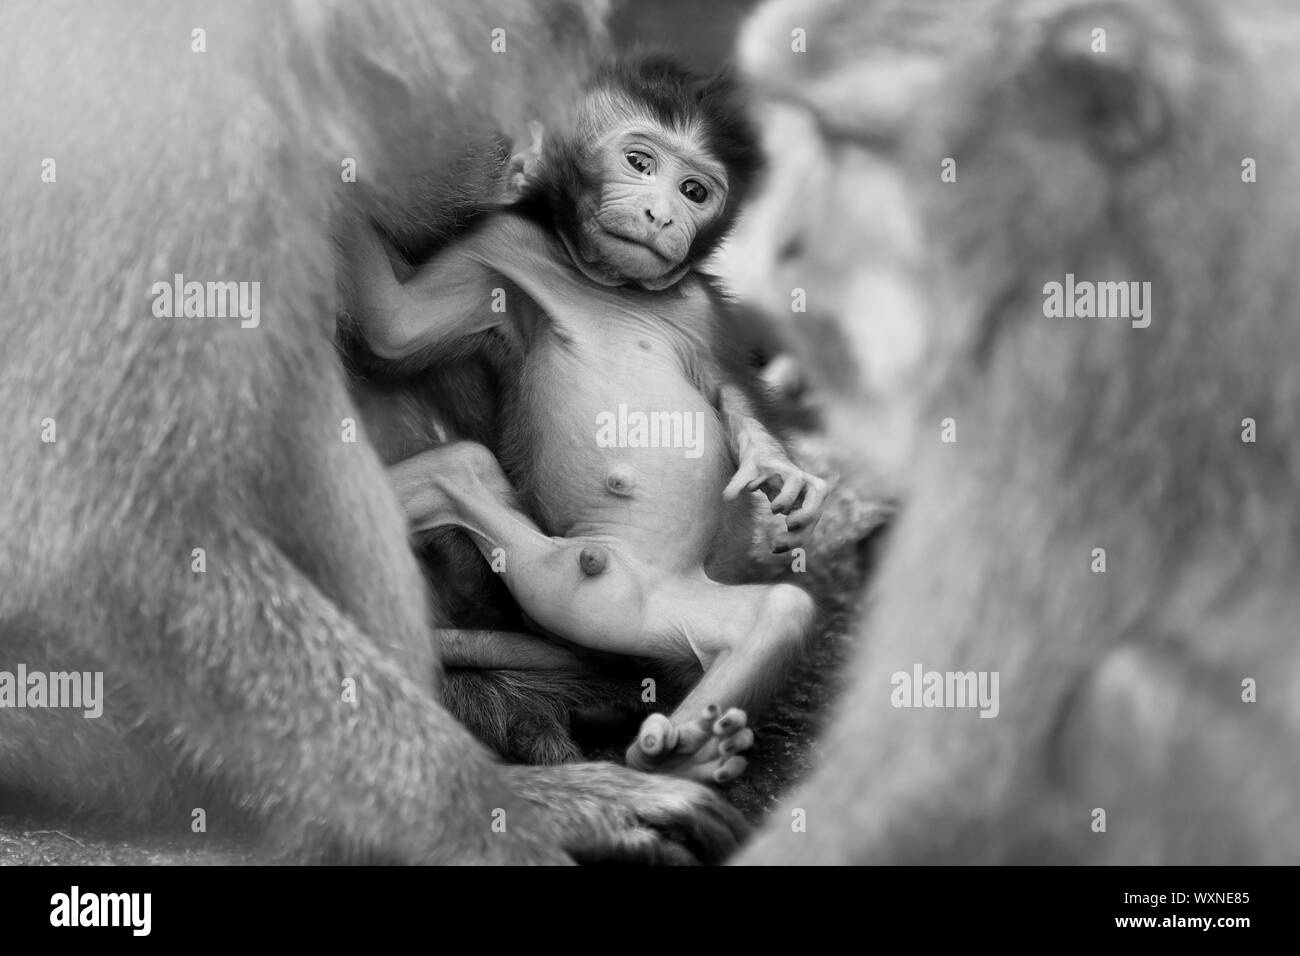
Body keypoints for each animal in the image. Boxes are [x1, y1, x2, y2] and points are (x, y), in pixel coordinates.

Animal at [347, 56, 830, 784]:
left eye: (695, 190)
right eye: (638, 162)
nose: (660, 213)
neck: (609, 284)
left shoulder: (697, 306)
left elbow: (726, 391)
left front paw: (777, 468)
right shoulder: (502, 242)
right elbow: (397, 327)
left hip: (657, 608)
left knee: (777, 613)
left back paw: (683, 754)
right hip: (554, 574)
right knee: (462, 471)